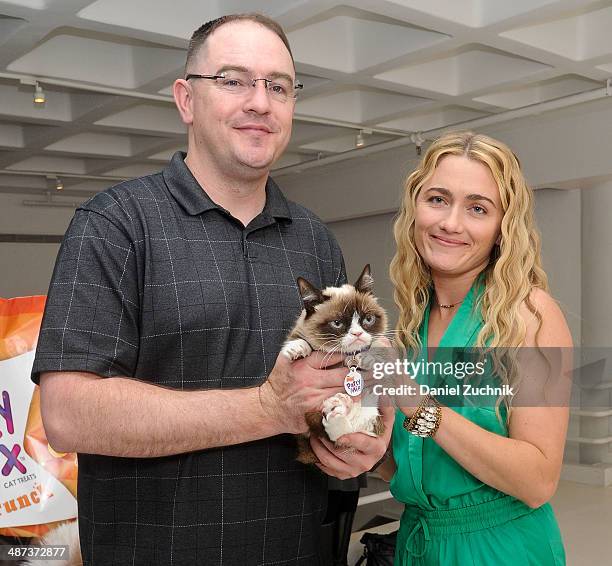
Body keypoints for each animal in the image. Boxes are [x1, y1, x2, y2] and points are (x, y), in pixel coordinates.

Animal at [280, 266, 388, 466]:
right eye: (337, 323)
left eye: (368, 319)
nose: (357, 334)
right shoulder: (300, 331)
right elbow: (299, 339)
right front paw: (296, 348)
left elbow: (374, 350)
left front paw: (366, 358)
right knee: (329, 435)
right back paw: (338, 408)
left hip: (371, 413)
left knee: (346, 436)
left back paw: (340, 408)